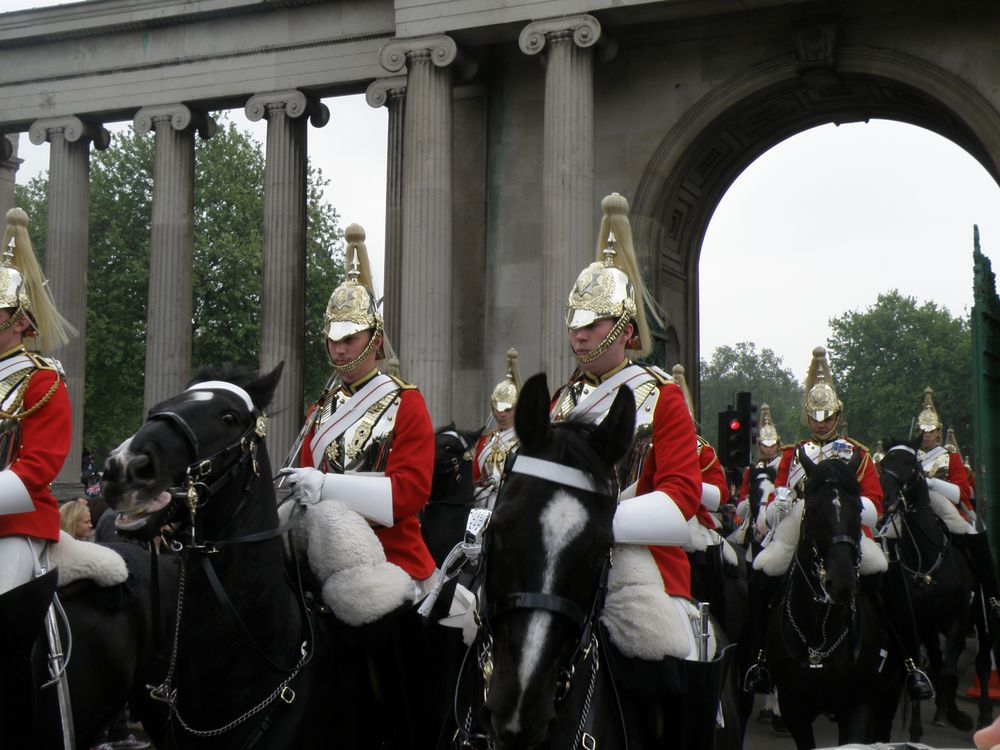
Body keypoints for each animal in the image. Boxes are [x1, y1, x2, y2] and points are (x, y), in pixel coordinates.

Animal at [768, 452, 904, 750]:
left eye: (859, 510)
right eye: (812, 510)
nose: (841, 583)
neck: (819, 632)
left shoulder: (858, 703)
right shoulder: (794, 708)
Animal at [880, 440, 980, 740]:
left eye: (910, 464)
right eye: (883, 463)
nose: (885, 499)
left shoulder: (958, 619)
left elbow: (948, 672)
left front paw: (956, 716)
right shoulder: (917, 622)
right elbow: (926, 666)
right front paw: (916, 728)